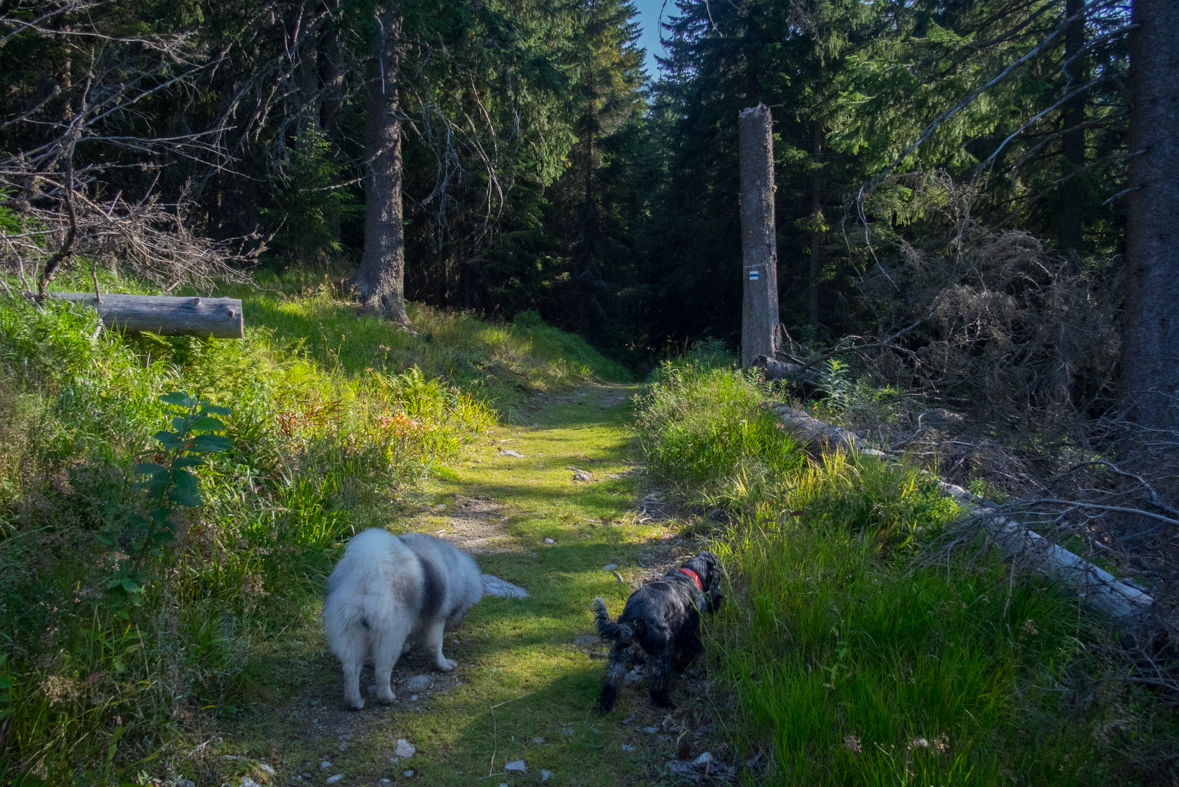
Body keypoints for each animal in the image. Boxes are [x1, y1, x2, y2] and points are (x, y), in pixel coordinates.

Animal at [323, 532, 483, 711]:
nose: (458, 624)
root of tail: (368, 579)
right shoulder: (437, 620)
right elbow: (436, 646)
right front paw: (443, 664)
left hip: (351, 634)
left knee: (351, 670)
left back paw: (354, 702)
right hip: (390, 634)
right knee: (382, 670)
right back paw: (386, 697)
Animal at [594, 551, 721, 711]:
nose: (720, 597)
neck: (692, 574)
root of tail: (634, 619)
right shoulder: (690, 630)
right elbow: (693, 650)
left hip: (620, 652)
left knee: (612, 680)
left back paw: (606, 704)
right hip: (662, 654)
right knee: (657, 686)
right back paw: (666, 702)